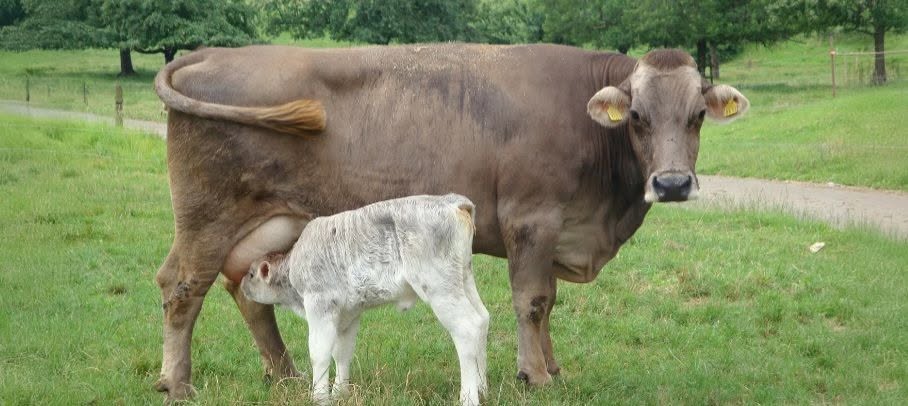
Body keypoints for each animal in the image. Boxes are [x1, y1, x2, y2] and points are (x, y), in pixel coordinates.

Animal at [240, 194, 488, 405]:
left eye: (251, 274)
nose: (242, 284)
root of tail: (453, 202)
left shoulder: (320, 305)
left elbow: (319, 353)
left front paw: (319, 397)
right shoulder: (348, 314)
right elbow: (342, 353)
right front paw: (340, 393)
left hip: (439, 287)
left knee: (467, 327)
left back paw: (468, 396)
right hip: (464, 278)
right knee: (482, 319)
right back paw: (482, 387)